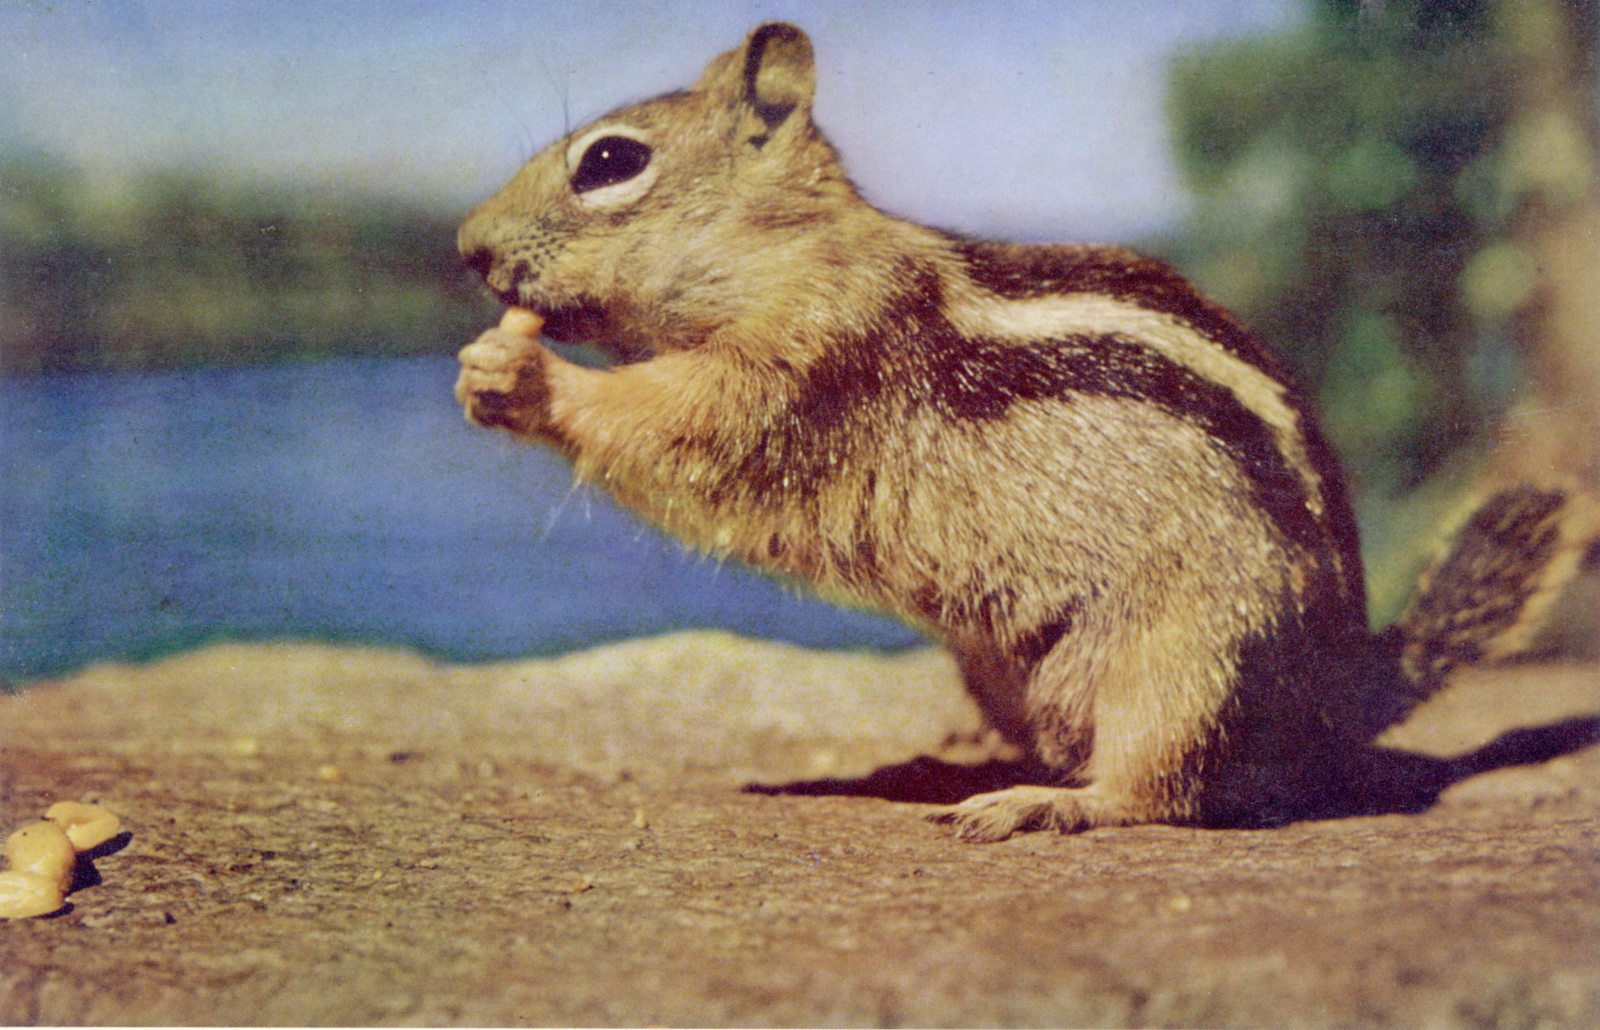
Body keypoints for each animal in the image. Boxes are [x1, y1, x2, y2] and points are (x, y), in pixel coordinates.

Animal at [453, 23, 1596, 841]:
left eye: (610, 160)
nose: (465, 249)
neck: (793, 250)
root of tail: (1343, 688)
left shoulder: (803, 365)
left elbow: (681, 428)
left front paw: (521, 375)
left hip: (1186, 660)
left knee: (1159, 791)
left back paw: (1041, 803)